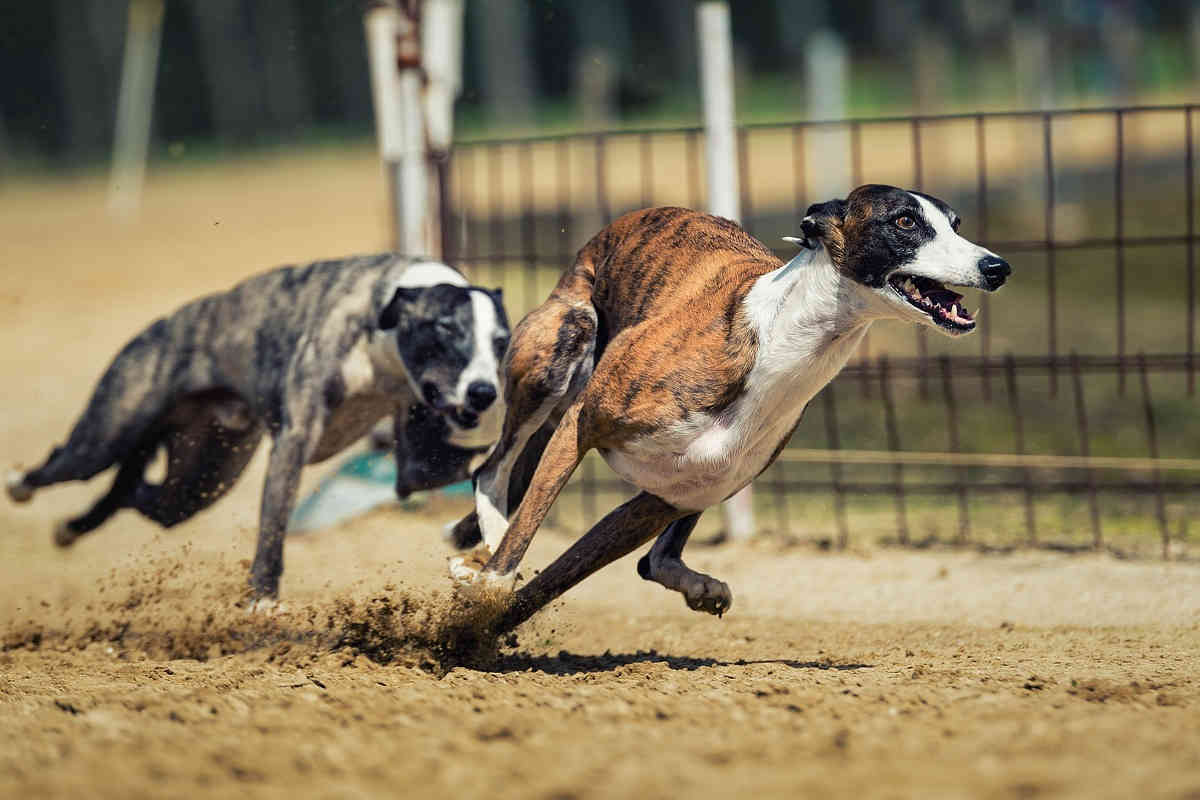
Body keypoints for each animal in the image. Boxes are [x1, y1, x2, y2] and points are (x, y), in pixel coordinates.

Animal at [3, 256, 506, 599]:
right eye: (445, 329)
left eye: (500, 341)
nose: (484, 392)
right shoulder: (293, 440)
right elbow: (273, 524)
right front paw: (263, 599)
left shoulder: (416, 464)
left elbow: (453, 472)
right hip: (107, 434)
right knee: (68, 463)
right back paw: (20, 485)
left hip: (200, 479)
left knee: (136, 491)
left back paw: (71, 527)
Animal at [446, 183, 1008, 633]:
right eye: (905, 221)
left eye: (956, 224)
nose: (997, 267)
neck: (776, 342)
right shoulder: (580, 426)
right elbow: (524, 534)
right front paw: (484, 592)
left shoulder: (661, 501)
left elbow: (552, 582)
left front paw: (472, 640)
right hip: (562, 347)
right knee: (491, 470)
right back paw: (484, 545)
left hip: (699, 480)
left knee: (653, 561)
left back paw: (696, 585)